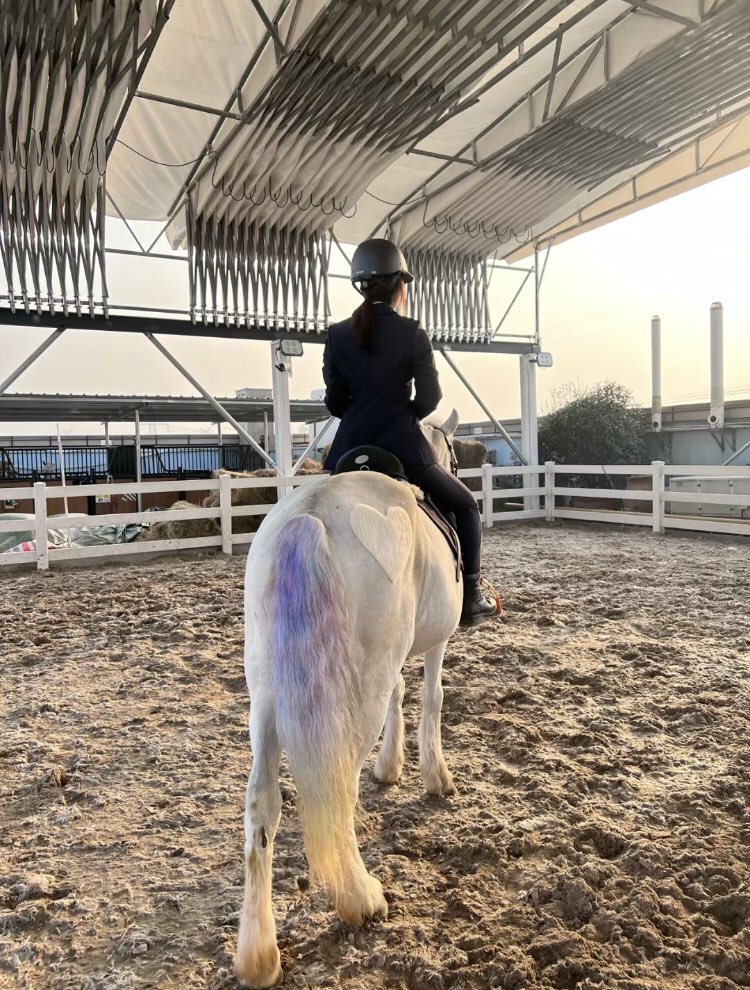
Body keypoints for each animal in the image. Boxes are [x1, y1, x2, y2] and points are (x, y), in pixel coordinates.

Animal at [235, 409, 465, 988]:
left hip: (266, 693)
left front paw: (392, 766)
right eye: (452, 451)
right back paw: (361, 899)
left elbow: (402, 693)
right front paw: (434, 776)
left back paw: (258, 955)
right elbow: (432, 695)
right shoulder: (436, 642)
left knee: (261, 803)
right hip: (353, 693)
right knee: (341, 786)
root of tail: (311, 516)